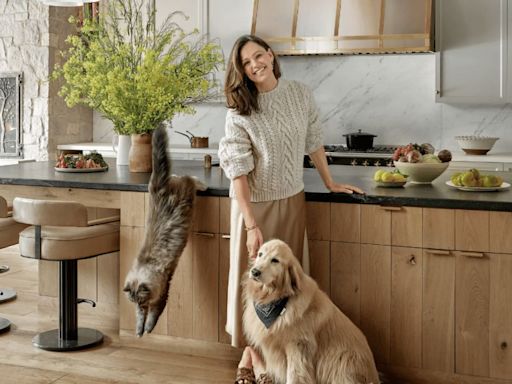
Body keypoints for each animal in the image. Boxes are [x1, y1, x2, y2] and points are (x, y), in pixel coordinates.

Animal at [123, 124, 204, 334]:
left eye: (140, 299)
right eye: (133, 301)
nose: (139, 304)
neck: (147, 265)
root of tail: (158, 187)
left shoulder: (162, 292)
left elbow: (153, 316)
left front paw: (147, 329)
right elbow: (140, 319)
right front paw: (139, 331)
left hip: (187, 192)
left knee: (188, 178)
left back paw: (202, 184)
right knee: (177, 176)